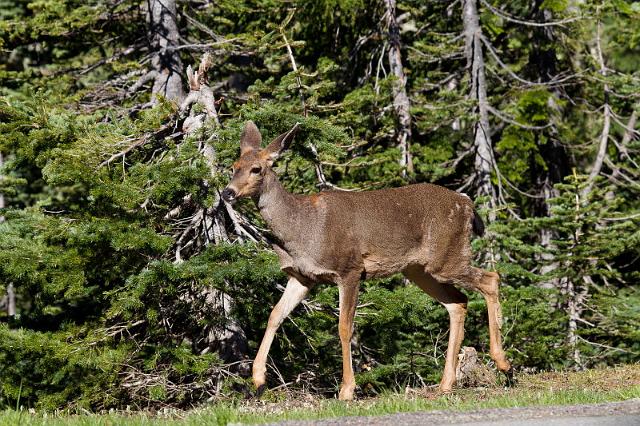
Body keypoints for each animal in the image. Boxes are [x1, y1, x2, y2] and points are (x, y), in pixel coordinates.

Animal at [222, 120, 512, 400]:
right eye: (233, 167)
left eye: (257, 169)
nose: (227, 193)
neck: (302, 229)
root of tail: (468, 205)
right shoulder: (303, 278)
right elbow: (275, 316)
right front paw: (258, 379)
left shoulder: (349, 269)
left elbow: (344, 327)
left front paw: (347, 389)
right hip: (419, 269)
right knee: (458, 301)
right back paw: (446, 384)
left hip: (446, 257)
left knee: (490, 279)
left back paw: (502, 363)